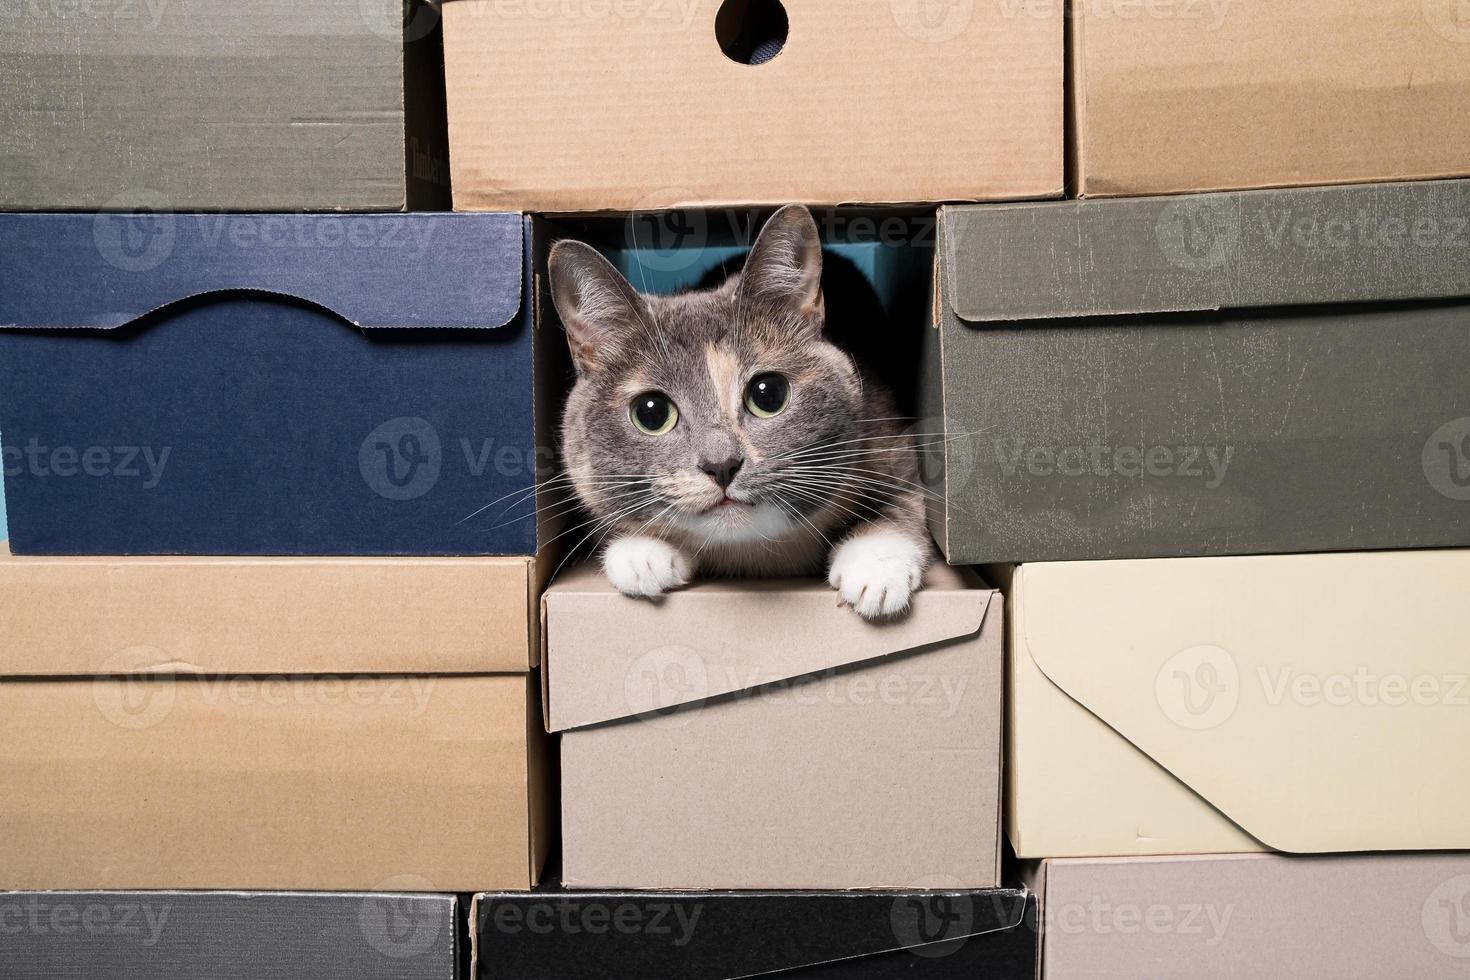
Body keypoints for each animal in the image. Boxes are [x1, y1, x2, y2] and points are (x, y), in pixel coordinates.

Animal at [552, 205, 929, 620]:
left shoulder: (888, 431)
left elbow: (906, 496)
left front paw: (876, 565)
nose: (722, 465)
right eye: (650, 413)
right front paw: (641, 555)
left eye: (769, 394)